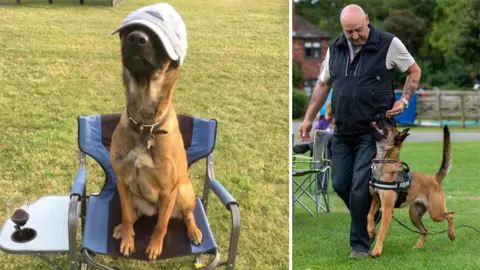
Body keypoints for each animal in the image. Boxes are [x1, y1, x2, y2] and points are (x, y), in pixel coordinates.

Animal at [109, 5, 202, 260]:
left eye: (155, 38)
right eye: (128, 31)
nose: (136, 38)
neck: (145, 124)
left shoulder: (168, 192)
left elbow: (161, 225)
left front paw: (154, 246)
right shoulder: (122, 182)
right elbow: (126, 215)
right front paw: (128, 237)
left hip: (183, 192)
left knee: (184, 214)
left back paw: (194, 230)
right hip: (135, 197)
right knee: (134, 213)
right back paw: (122, 228)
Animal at [368, 118, 454, 258]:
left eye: (389, 126)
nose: (378, 116)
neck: (384, 164)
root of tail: (434, 179)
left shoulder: (387, 210)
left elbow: (381, 232)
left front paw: (377, 250)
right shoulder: (376, 201)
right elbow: (369, 215)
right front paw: (370, 230)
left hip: (435, 213)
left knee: (451, 214)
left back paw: (451, 234)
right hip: (414, 215)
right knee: (425, 230)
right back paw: (417, 247)